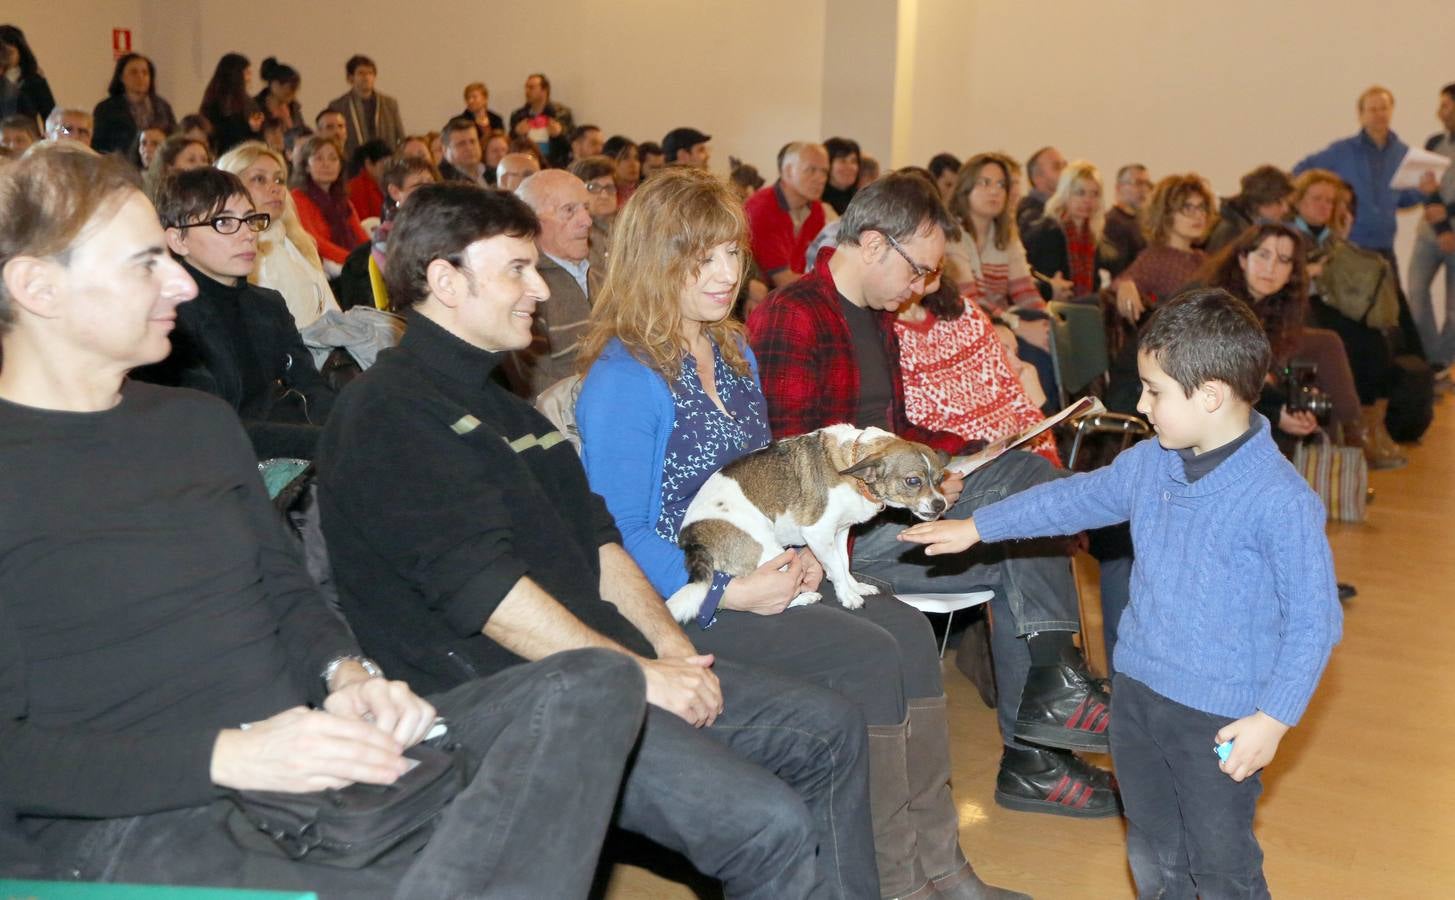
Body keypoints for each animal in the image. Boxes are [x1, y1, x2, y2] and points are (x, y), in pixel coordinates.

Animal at [666, 427, 948, 622]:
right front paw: (847, 596)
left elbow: (844, 564)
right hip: (772, 553)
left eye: (940, 479)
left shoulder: (840, 532)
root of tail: (692, 538)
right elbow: (836, 567)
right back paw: (805, 596)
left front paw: (854, 586)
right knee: (774, 603)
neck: (851, 466)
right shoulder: (818, 534)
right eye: (913, 481)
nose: (941, 505)